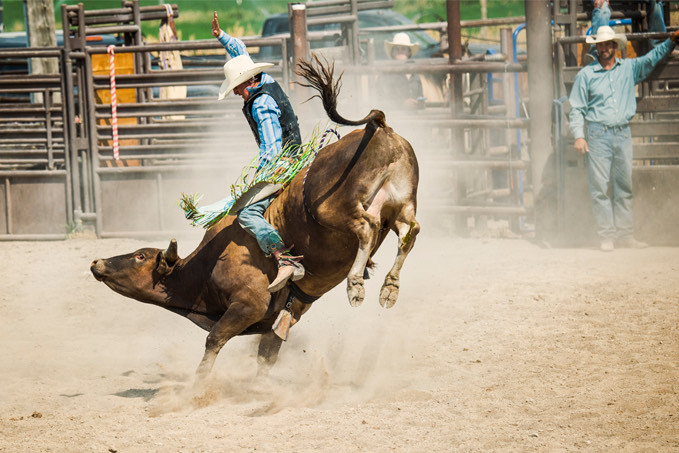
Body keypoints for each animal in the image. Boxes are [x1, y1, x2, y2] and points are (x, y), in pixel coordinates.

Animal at [90, 56, 420, 378]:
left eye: (141, 256)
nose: (97, 262)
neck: (206, 267)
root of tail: (380, 129)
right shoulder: (282, 318)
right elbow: (266, 358)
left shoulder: (249, 304)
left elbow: (214, 340)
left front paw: (197, 387)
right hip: (402, 205)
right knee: (409, 233)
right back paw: (389, 288)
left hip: (332, 210)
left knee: (368, 227)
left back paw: (355, 285)